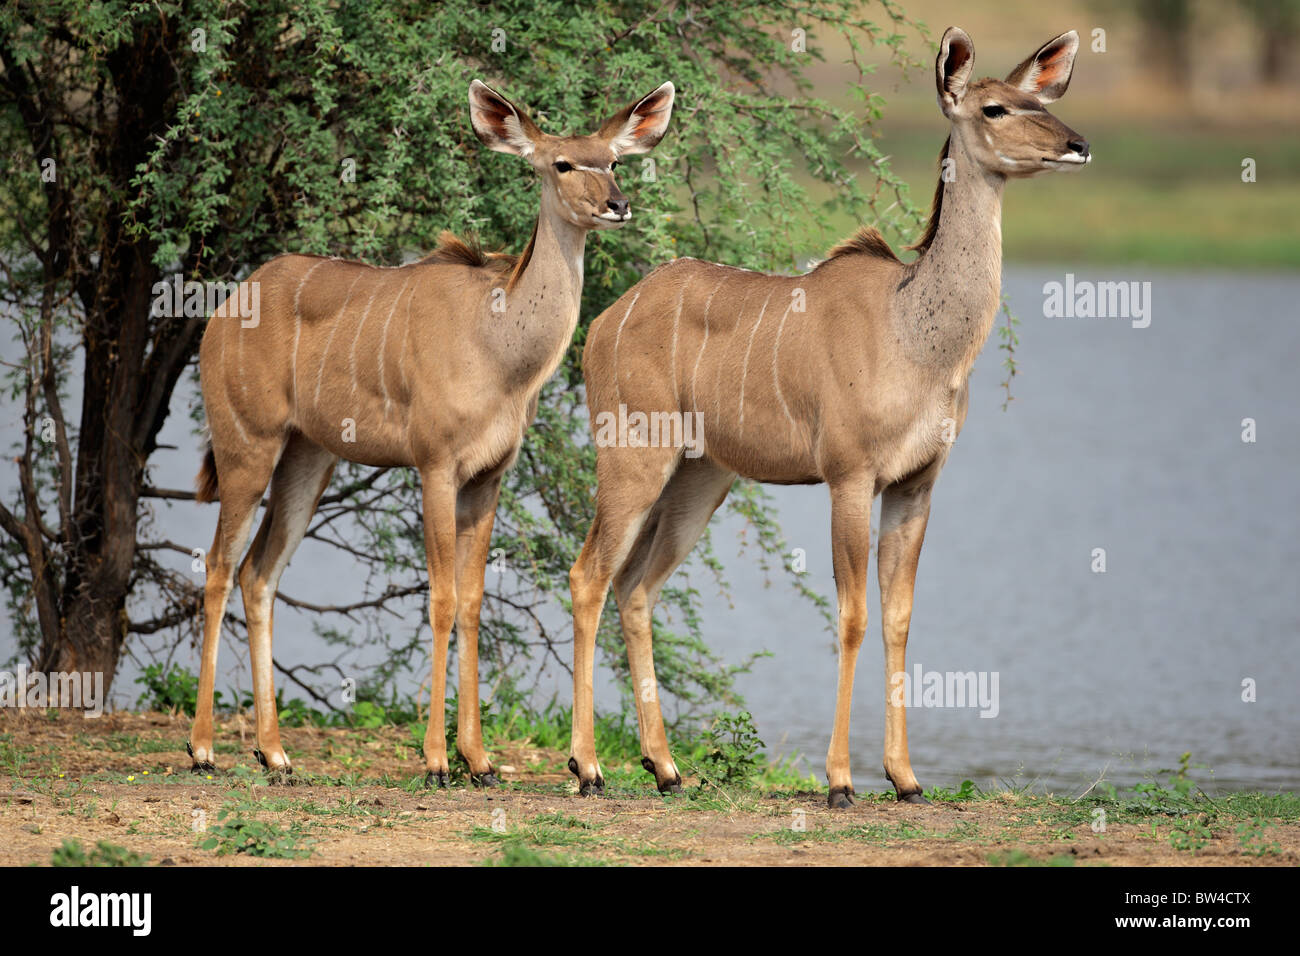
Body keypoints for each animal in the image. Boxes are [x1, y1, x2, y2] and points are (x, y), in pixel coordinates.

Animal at [189, 80, 681, 785]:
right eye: (561, 164)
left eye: (613, 160)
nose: (617, 204)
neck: (499, 346)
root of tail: (224, 311)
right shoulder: (436, 466)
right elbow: (443, 599)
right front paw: (437, 760)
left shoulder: (488, 477)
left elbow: (473, 600)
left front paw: (480, 760)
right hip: (246, 446)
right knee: (218, 566)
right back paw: (203, 749)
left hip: (308, 460)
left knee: (260, 573)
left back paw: (275, 753)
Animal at [569, 27, 1086, 806]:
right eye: (994, 107)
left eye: (1042, 99)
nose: (1077, 144)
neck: (916, 335)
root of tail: (601, 326)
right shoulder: (850, 477)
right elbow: (853, 615)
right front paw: (840, 780)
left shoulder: (916, 484)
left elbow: (899, 617)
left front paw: (906, 779)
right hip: (633, 457)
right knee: (589, 577)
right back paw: (589, 768)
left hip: (700, 478)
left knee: (636, 589)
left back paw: (667, 769)